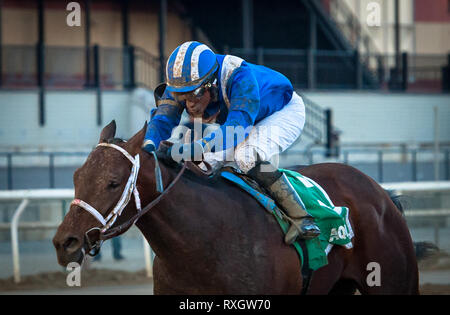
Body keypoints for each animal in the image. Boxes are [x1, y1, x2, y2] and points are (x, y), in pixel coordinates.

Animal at [53, 121, 428, 296]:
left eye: (113, 182)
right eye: (76, 176)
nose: (64, 243)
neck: (203, 246)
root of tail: (382, 194)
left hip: (395, 282)